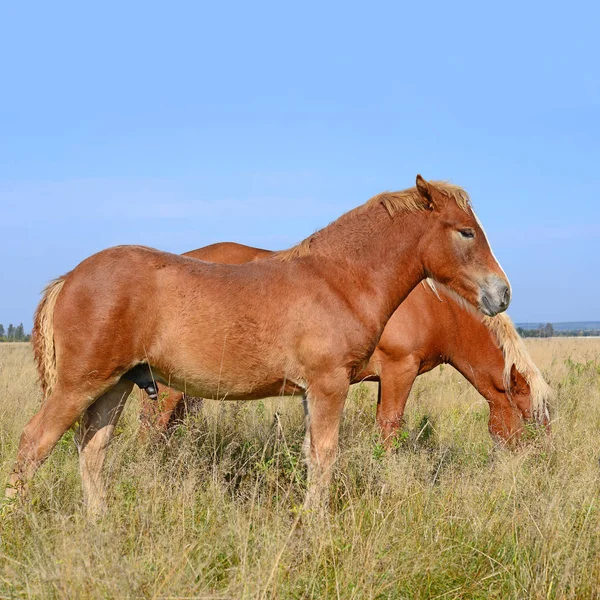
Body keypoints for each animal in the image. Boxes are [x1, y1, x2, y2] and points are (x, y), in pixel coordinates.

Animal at [8, 176, 510, 512]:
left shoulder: (312, 391)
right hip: (81, 384)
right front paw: (316, 527)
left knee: (91, 451)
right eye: (466, 231)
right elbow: (326, 455)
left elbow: (311, 454)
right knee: (34, 443)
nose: (502, 294)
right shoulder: (330, 384)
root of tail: (70, 276)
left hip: (115, 385)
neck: (340, 280)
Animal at [142, 241, 552, 442]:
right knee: (154, 423)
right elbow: (390, 429)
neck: (435, 306)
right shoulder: (399, 370)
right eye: (531, 420)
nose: (539, 467)